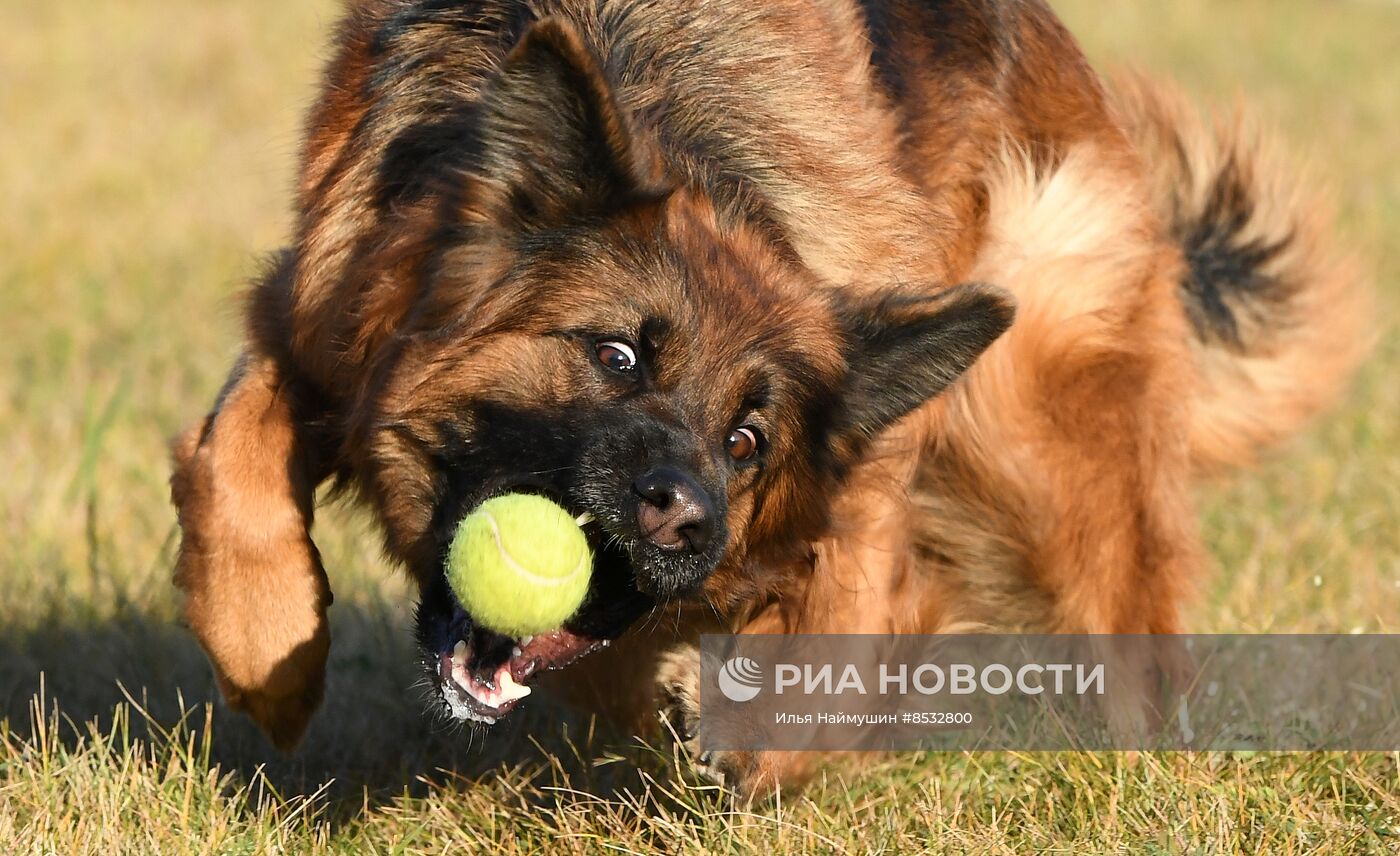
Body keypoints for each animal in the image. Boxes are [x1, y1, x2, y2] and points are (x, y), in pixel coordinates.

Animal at [166, 0, 1366, 795]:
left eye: (748, 438)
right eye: (615, 356)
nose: (682, 518)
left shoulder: (863, 474)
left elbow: (827, 645)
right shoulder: (317, 312)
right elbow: (232, 460)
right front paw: (267, 657)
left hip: (1038, 424)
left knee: (1119, 622)